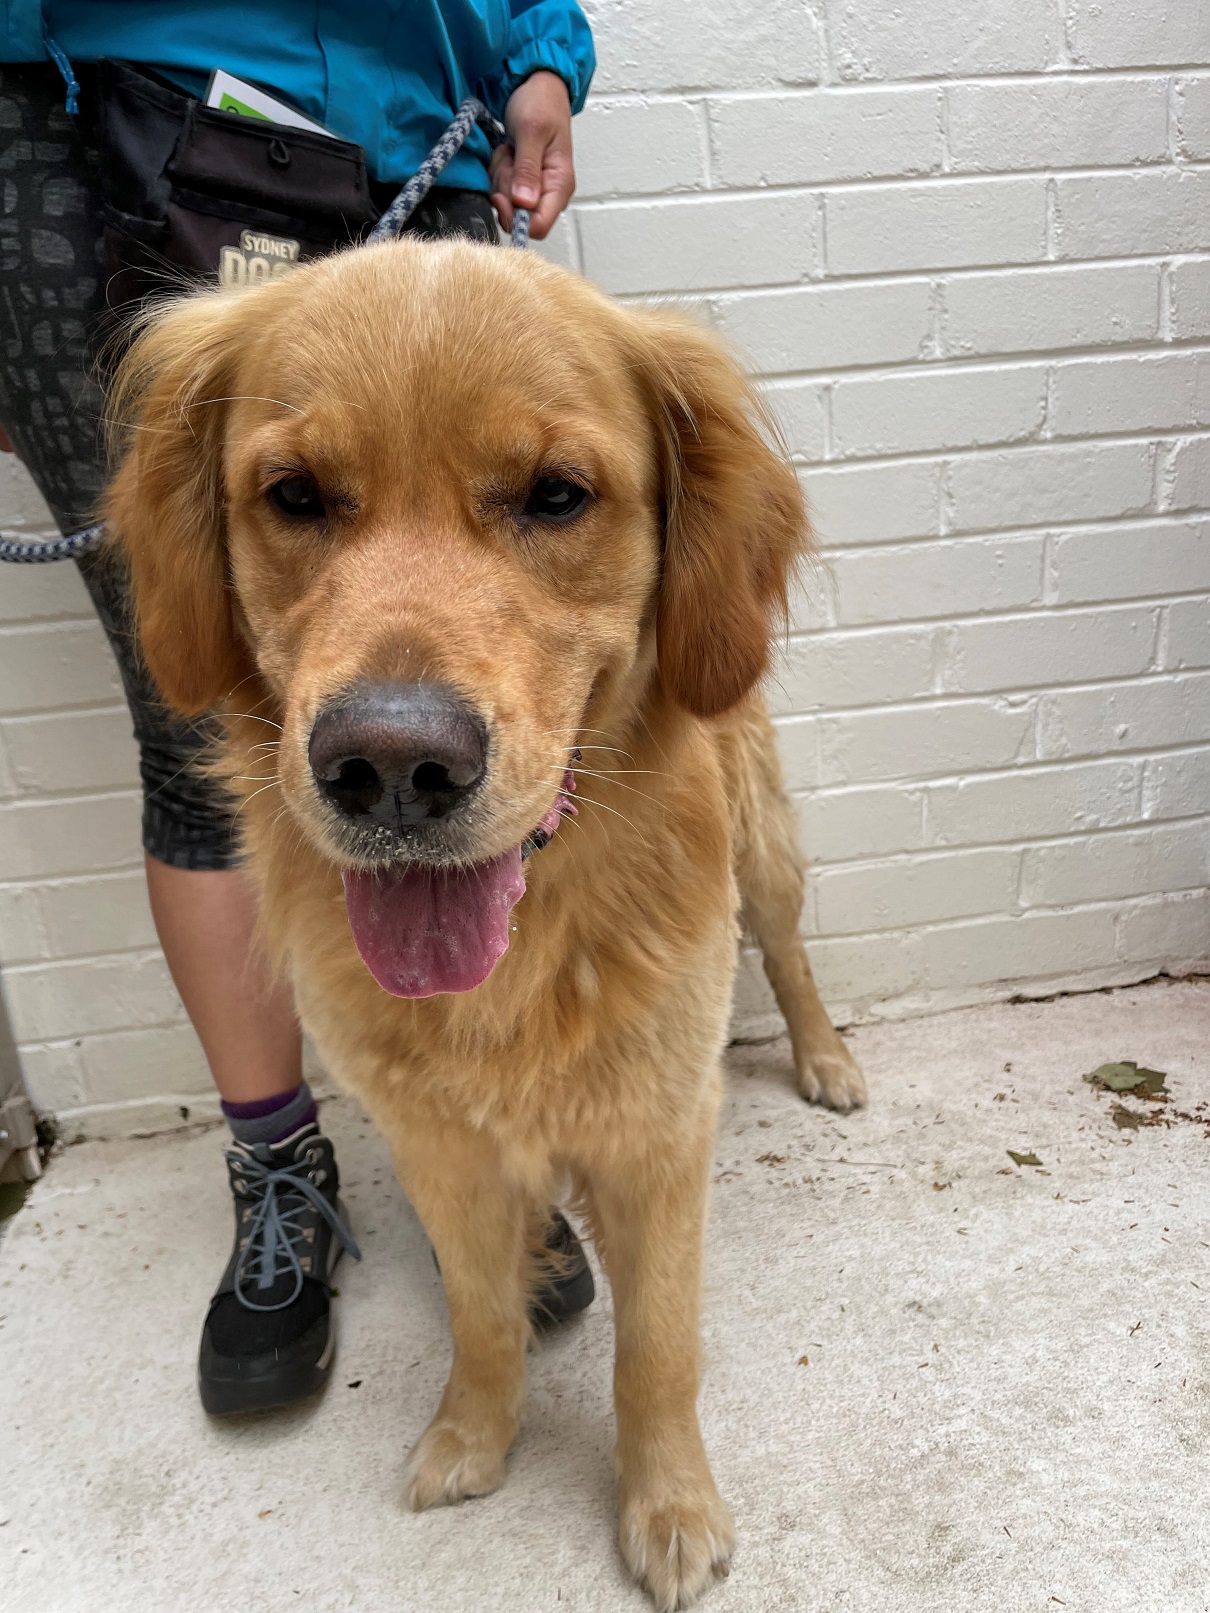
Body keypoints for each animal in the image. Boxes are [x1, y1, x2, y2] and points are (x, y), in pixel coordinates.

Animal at [106, 238, 866, 1611]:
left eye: (556, 496)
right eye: (295, 495)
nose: (392, 766)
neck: (523, 951)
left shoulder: (659, 1134)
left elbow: (656, 1349)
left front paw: (669, 1505)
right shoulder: (439, 1145)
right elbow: (479, 1313)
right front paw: (473, 1433)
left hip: (765, 843)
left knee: (784, 946)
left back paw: (827, 1057)